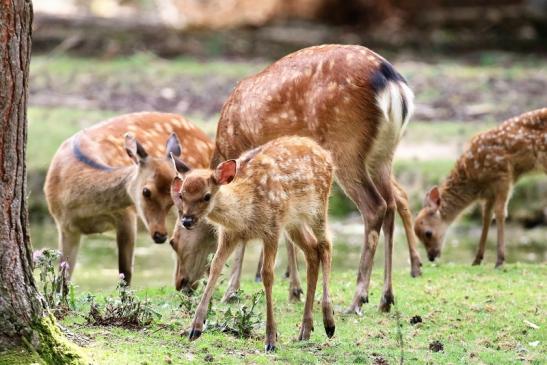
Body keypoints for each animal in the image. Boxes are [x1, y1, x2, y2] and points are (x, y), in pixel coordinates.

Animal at [44, 112, 214, 282]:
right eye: (146, 191)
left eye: (175, 196)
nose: (161, 235)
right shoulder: (65, 227)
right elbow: (63, 277)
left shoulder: (127, 215)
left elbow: (125, 274)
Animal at [170, 44, 416, 312]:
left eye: (174, 240)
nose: (181, 284)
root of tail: (392, 82)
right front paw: (294, 290)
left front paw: (231, 291)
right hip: (383, 154)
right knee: (392, 203)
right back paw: (386, 297)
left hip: (346, 145)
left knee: (375, 206)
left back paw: (357, 299)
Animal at [171, 136, 336, 350]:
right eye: (181, 194)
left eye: (206, 196)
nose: (187, 221)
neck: (246, 213)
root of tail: (325, 153)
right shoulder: (229, 235)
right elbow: (215, 268)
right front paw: (195, 328)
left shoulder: (272, 228)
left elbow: (267, 275)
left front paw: (271, 339)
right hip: (294, 221)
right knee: (312, 251)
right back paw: (305, 331)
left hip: (318, 205)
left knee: (326, 245)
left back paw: (329, 322)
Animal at [416, 107, 547, 264]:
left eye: (428, 233)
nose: (431, 257)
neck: (473, 182)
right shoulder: (489, 192)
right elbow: (486, 217)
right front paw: (477, 260)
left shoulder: (503, 176)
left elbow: (500, 213)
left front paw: (500, 260)